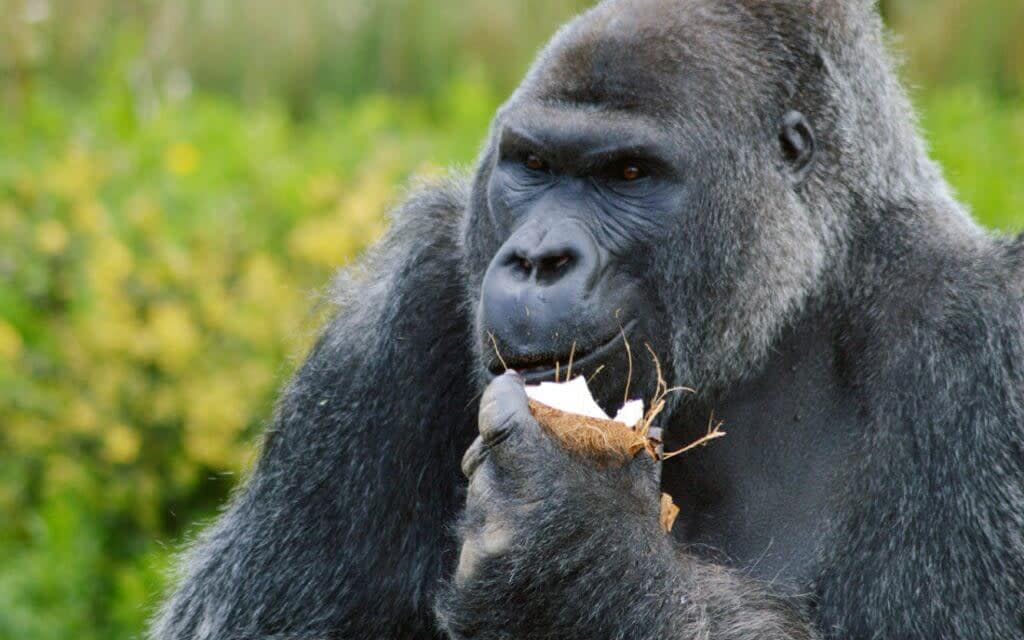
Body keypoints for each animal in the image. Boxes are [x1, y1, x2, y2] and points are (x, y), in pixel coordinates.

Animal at [151, 1, 1024, 638]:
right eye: (534, 166)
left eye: (628, 174)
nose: (541, 259)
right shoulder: (395, 313)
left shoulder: (982, 345)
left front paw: (578, 551)